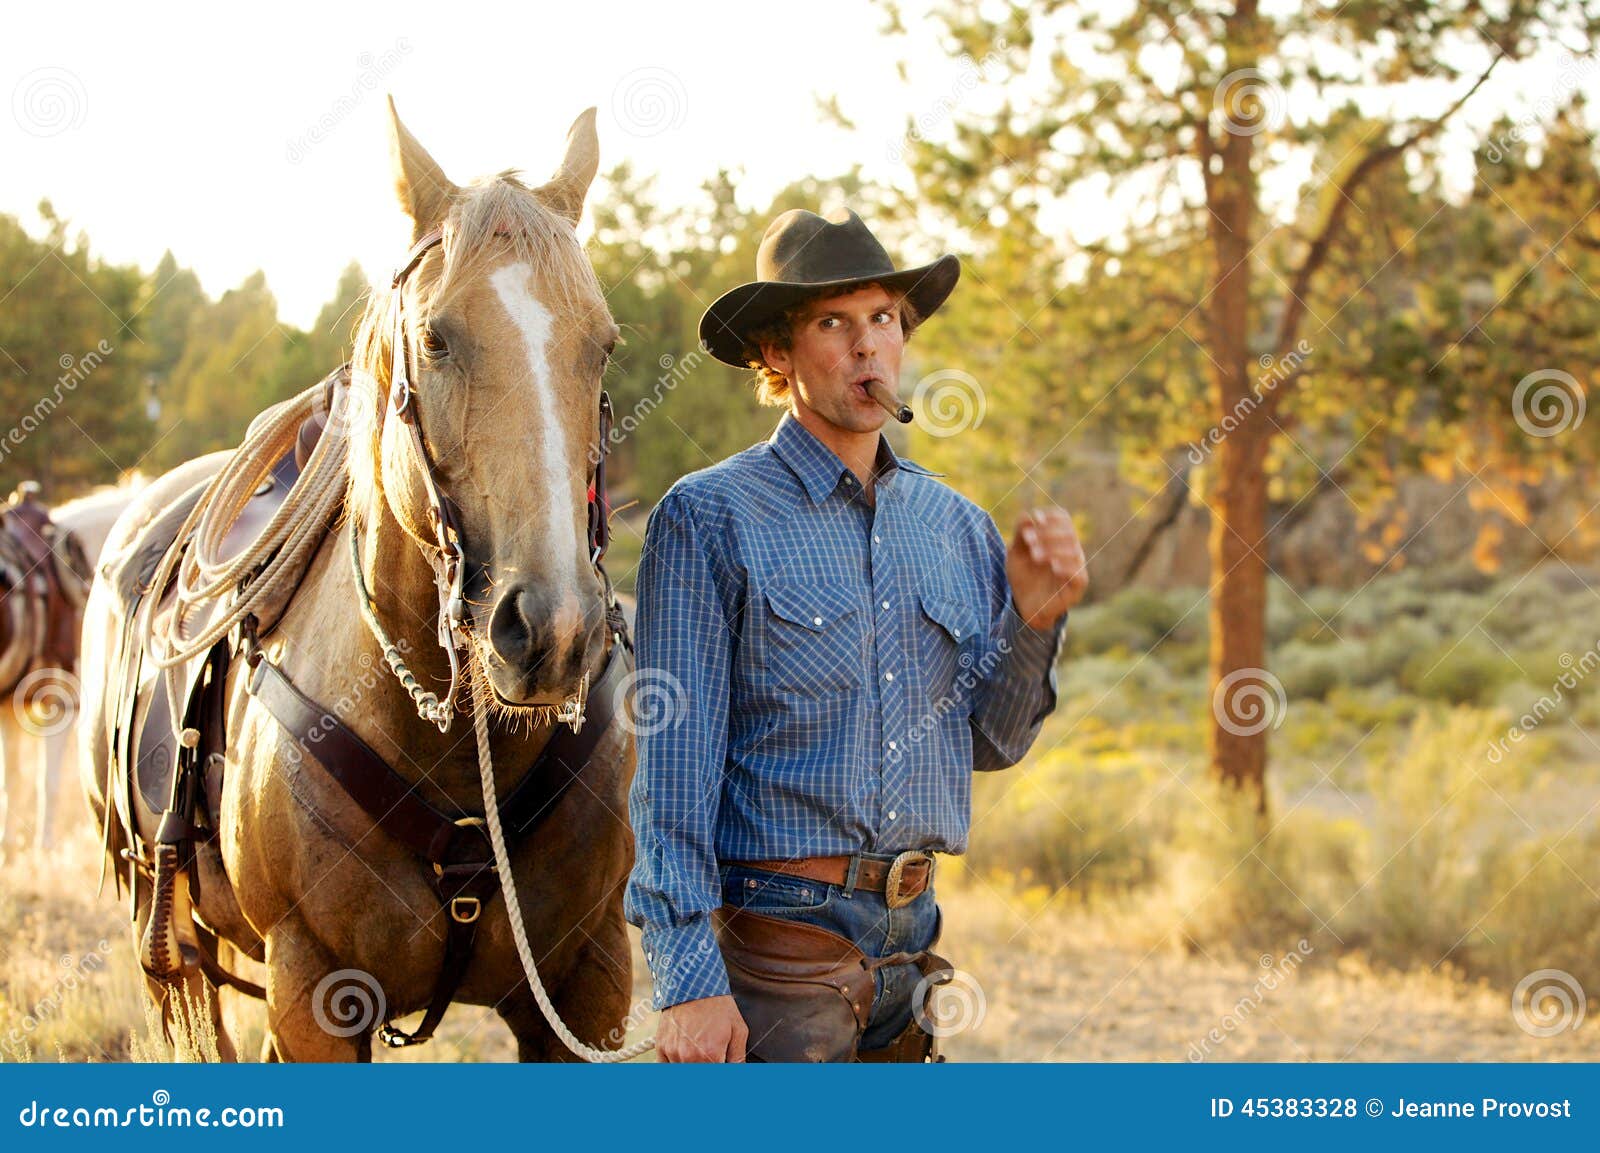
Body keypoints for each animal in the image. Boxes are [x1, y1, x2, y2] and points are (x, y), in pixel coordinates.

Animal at [76, 103, 636, 1055]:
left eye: (601, 344)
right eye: (436, 338)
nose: (553, 631)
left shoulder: (587, 984)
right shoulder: (312, 989)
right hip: (177, 955)